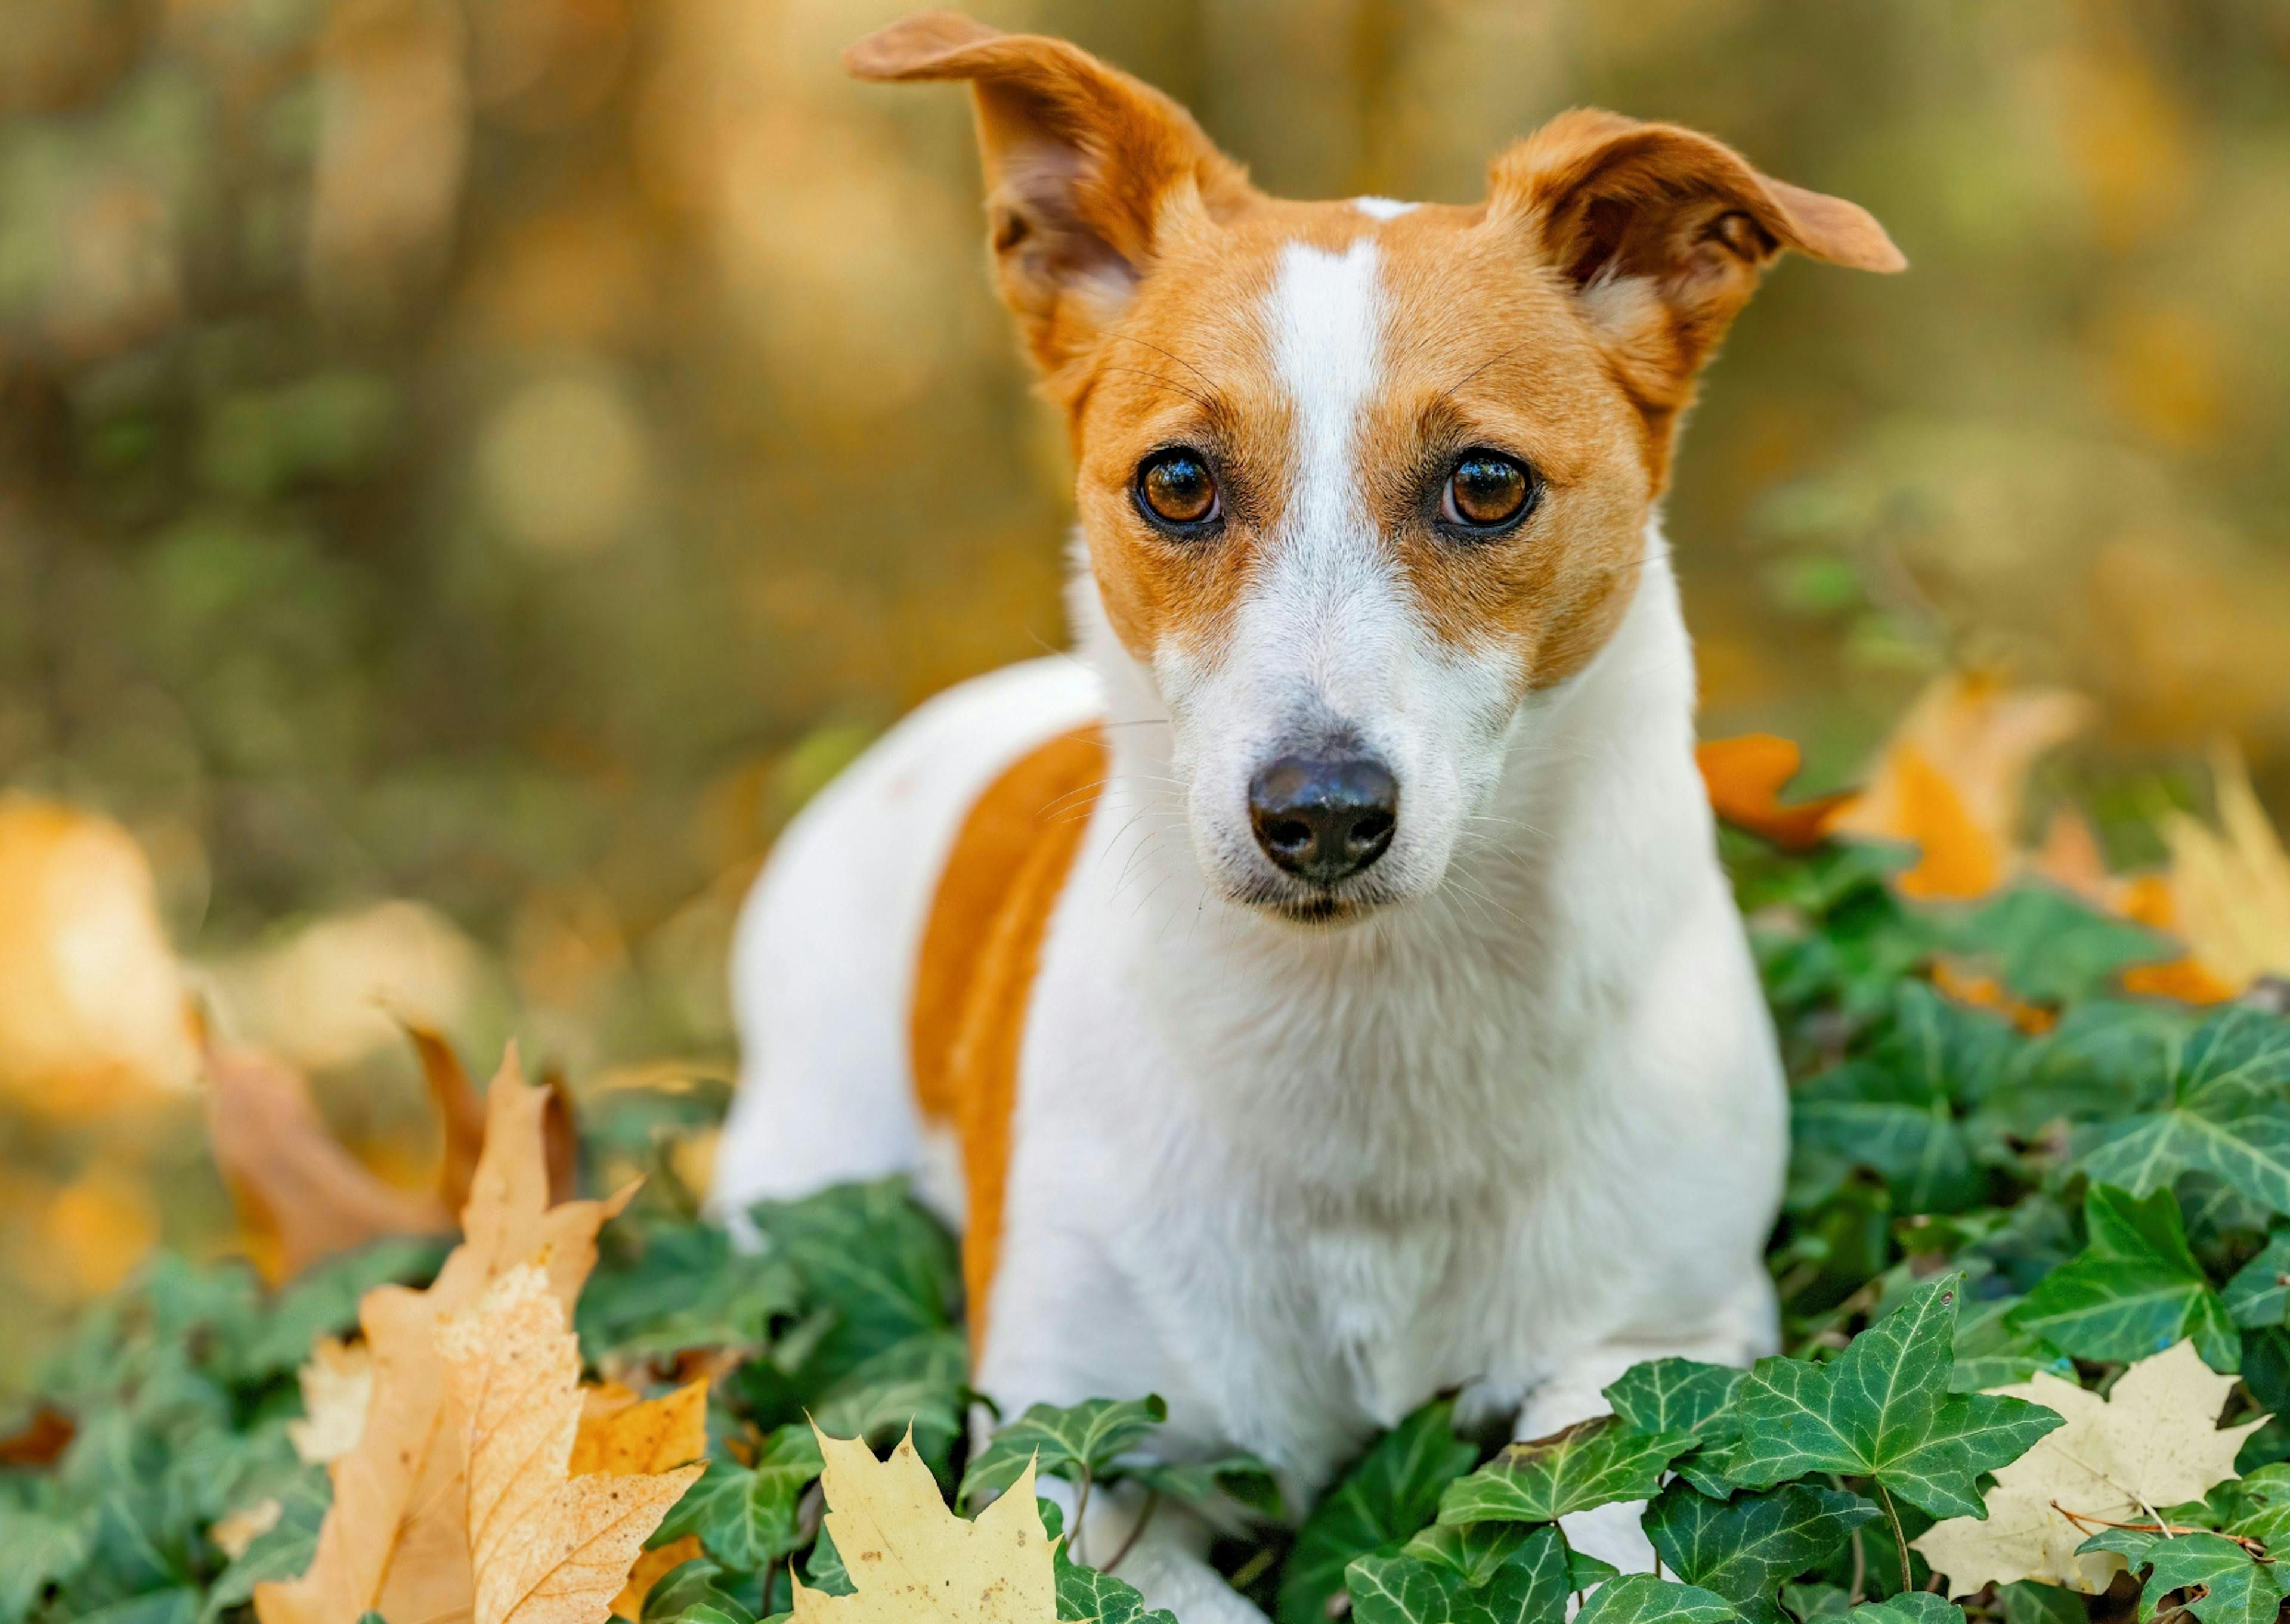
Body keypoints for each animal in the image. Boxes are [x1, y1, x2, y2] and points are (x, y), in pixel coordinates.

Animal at [714, 13, 1896, 1612]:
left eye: (1485, 484)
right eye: (1175, 482)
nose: (1322, 812)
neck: (1369, 1029)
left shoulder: (1655, 1354)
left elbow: (1607, 1528)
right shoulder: (1065, 1464)